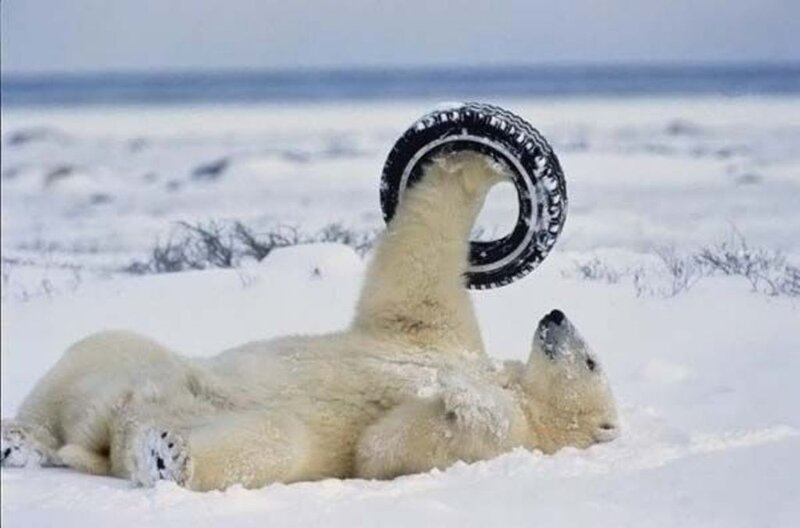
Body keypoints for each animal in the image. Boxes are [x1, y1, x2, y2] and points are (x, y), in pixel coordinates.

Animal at [0, 151, 619, 491]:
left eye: (592, 359)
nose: (556, 314)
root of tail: (95, 443)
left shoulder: (509, 441)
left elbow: (386, 447)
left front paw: (460, 394)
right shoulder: (440, 335)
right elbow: (416, 284)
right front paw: (473, 165)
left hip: (201, 425)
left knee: (272, 440)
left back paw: (163, 456)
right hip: (129, 366)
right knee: (100, 352)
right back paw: (19, 440)